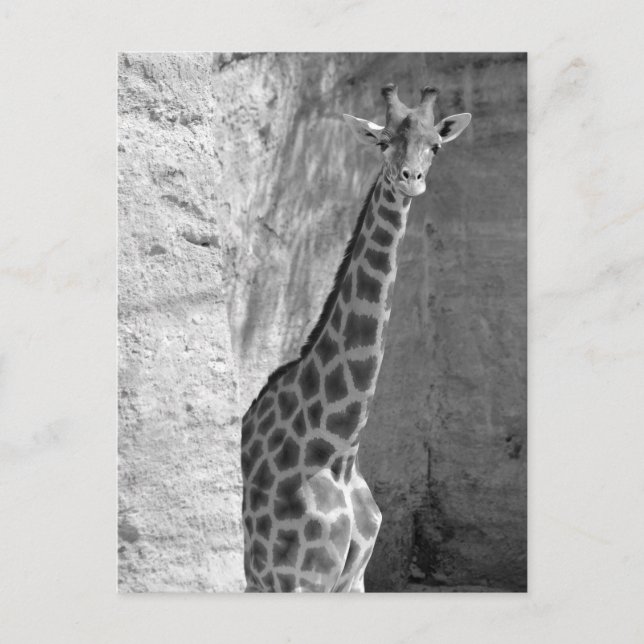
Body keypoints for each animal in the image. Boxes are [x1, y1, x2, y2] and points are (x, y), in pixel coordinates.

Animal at [241, 83, 471, 592]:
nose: (410, 179)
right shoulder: (298, 578)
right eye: (383, 142)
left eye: (435, 146)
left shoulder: (355, 575)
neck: (339, 450)